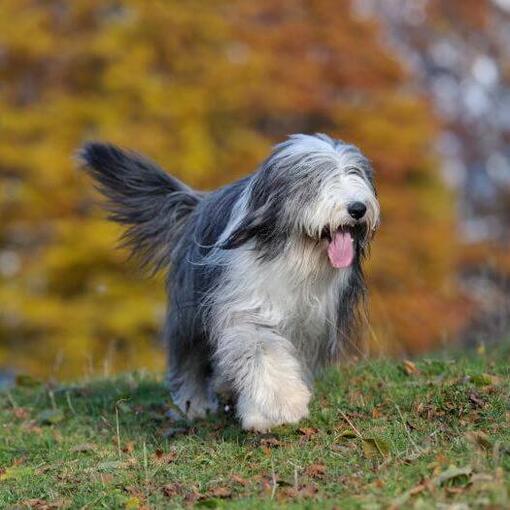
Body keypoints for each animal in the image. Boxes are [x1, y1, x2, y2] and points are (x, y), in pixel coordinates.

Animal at [79, 134, 380, 430]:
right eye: (315, 179)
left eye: (355, 173)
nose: (357, 208)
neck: (294, 257)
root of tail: (199, 203)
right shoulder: (245, 305)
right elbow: (261, 352)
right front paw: (282, 404)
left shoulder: (312, 325)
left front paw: (262, 411)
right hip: (190, 310)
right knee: (190, 356)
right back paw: (194, 404)